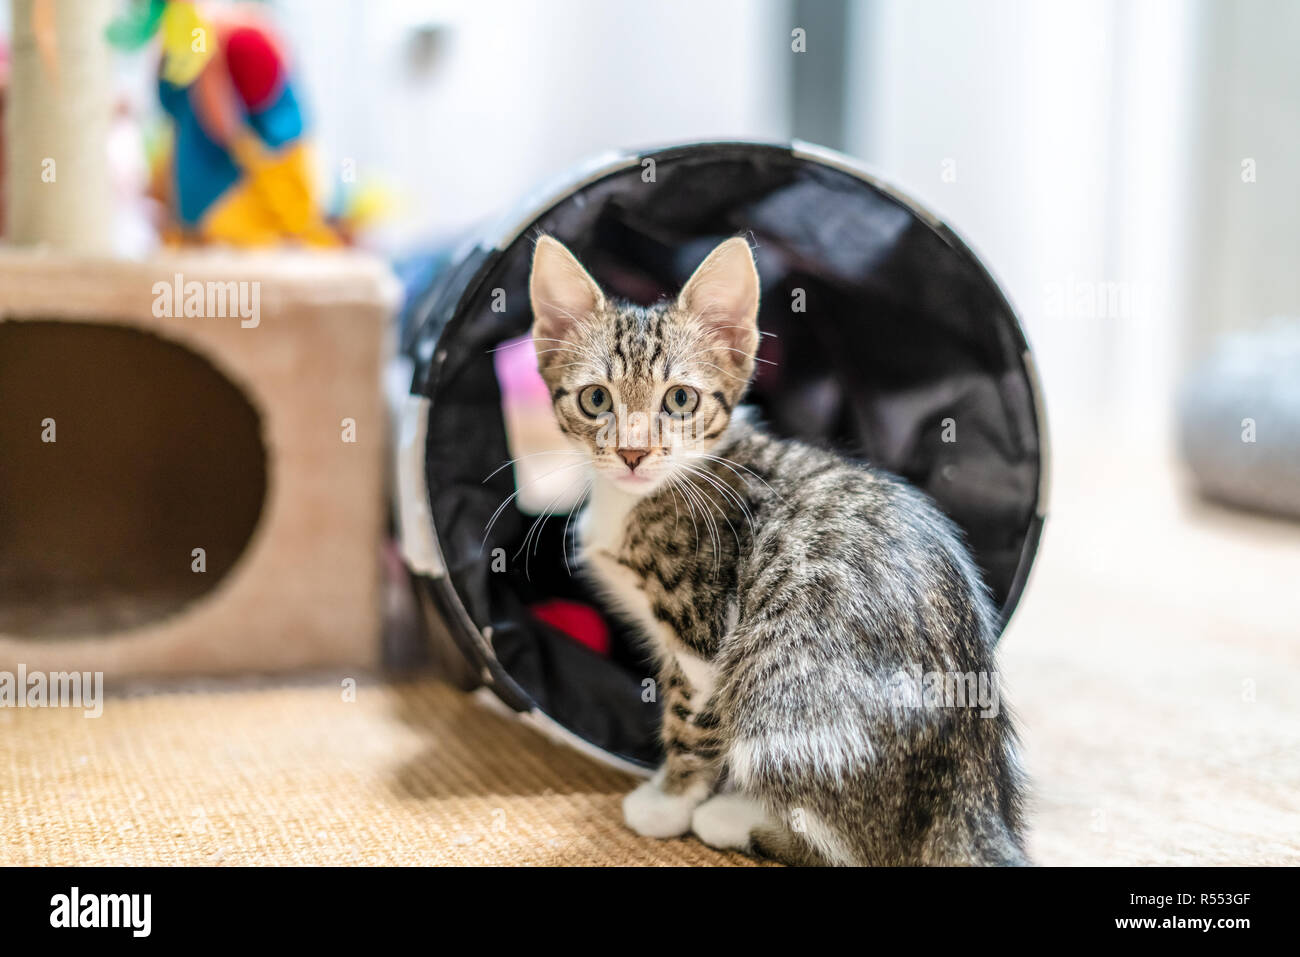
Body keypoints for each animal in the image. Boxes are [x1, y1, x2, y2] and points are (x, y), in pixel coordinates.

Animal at [527, 234, 1024, 868]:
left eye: (680, 399)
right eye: (595, 399)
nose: (633, 453)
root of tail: (966, 792)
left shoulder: (704, 637)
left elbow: (689, 725)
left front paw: (670, 801)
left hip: (774, 677)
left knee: (852, 848)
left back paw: (736, 820)